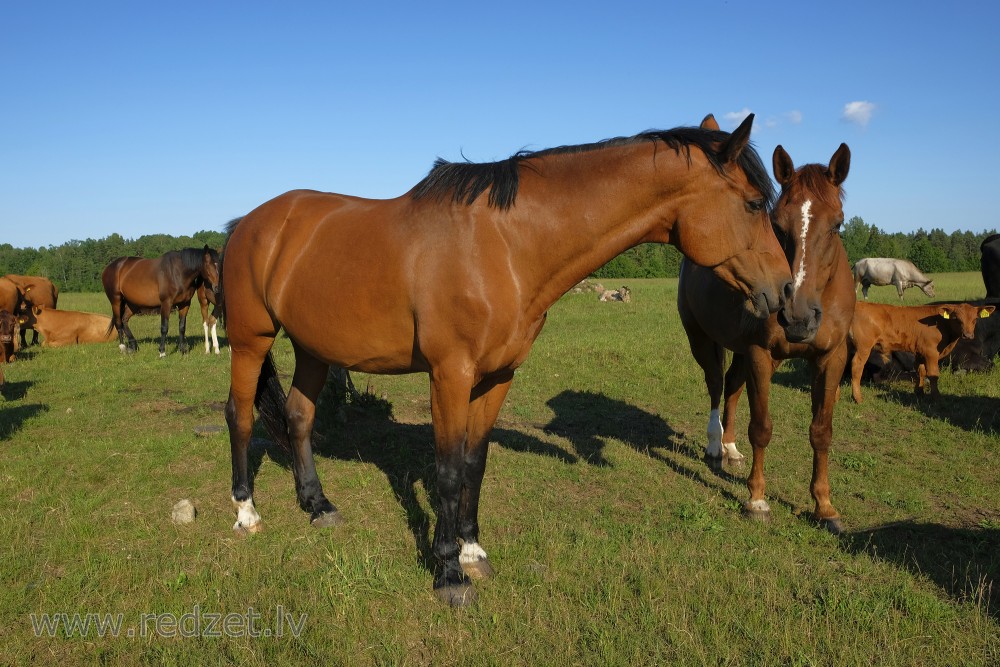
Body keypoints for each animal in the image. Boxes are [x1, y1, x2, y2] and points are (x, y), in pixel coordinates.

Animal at [223, 115, 800, 604]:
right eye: (755, 204)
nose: (786, 296)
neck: (504, 247)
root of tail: (248, 223)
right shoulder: (450, 376)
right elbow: (448, 470)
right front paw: (448, 574)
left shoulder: (497, 377)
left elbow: (474, 463)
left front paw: (472, 551)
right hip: (252, 341)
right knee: (241, 416)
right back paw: (246, 511)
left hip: (312, 348)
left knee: (299, 417)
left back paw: (318, 505)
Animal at [680, 144, 852, 536]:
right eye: (778, 224)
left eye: (837, 224)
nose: (798, 317)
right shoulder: (761, 355)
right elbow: (761, 428)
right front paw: (757, 499)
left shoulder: (831, 359)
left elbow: (821, 431)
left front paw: (824, 506)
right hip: (703, 341)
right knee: (716, 386)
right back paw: (715, 446)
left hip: (741, 353)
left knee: (731, 387)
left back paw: (730, 449)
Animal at [848, 302, 996, 402]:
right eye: (957, 319)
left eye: (975, 319)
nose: (968, 335)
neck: (941, 323)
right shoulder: (931, 352)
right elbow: (933, 374)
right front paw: (936, 397)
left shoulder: (920, 352)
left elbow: (921, 371)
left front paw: (919, 392)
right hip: (865, 348)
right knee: (857, 366)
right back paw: (858, 398)